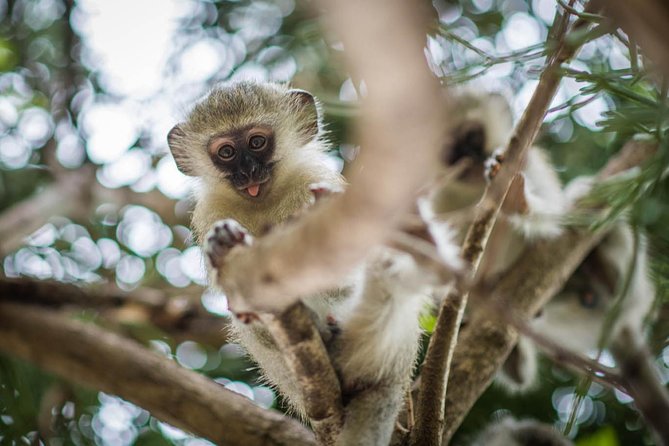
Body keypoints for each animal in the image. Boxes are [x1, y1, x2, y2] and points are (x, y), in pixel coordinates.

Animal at [170, 81, 456, 446]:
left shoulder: (316, 183)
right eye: (226, 152)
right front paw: (224, 242)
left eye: (257, 142)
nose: (248, 171)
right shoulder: (213, 212)